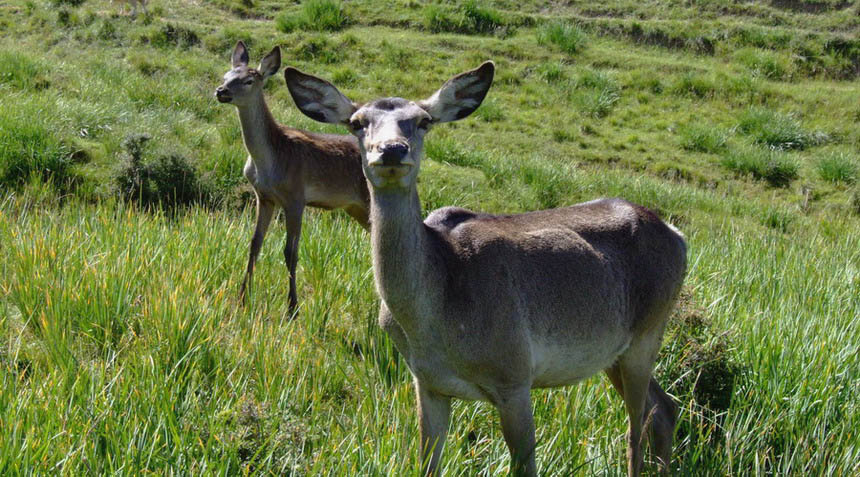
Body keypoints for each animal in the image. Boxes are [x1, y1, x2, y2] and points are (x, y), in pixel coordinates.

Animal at [215, 41, 370, 316]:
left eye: (249, 80)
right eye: (226, 75)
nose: (220, 91)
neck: (269, 162)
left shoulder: (296, 197)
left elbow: (291, 252)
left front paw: (292, 308)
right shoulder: (264, 197)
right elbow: (254, 245)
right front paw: (242, 298)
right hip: (355, 207)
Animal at [286, 61, 688, 474]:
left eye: (423, 120)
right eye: (357, 122)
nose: (393, 149)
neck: (434, 321)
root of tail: (677, 236)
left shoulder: (514, 375)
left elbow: (525, 464)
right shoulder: (426, 382)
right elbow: (427, 462)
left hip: (647, 332)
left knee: (637, 426)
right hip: (614, 352)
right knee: (664, 408)